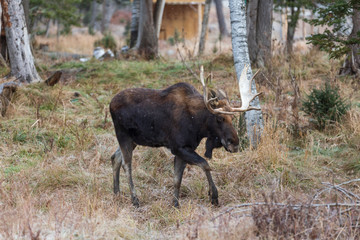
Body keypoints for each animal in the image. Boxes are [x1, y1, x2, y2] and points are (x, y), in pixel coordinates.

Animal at [109, 64, 262, 207]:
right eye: (219, 118)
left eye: (233, 117)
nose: (234, 143)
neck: (198, 125)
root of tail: (110, 104)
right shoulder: (178, 147)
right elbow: (205, 164)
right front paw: (214, 196)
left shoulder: (184, 149)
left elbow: (177, 179)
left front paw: (175, 203)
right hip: (123, 135)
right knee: (126, 164)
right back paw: (134, 200)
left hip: (134, 139)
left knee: (115, 157)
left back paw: (116, 193)